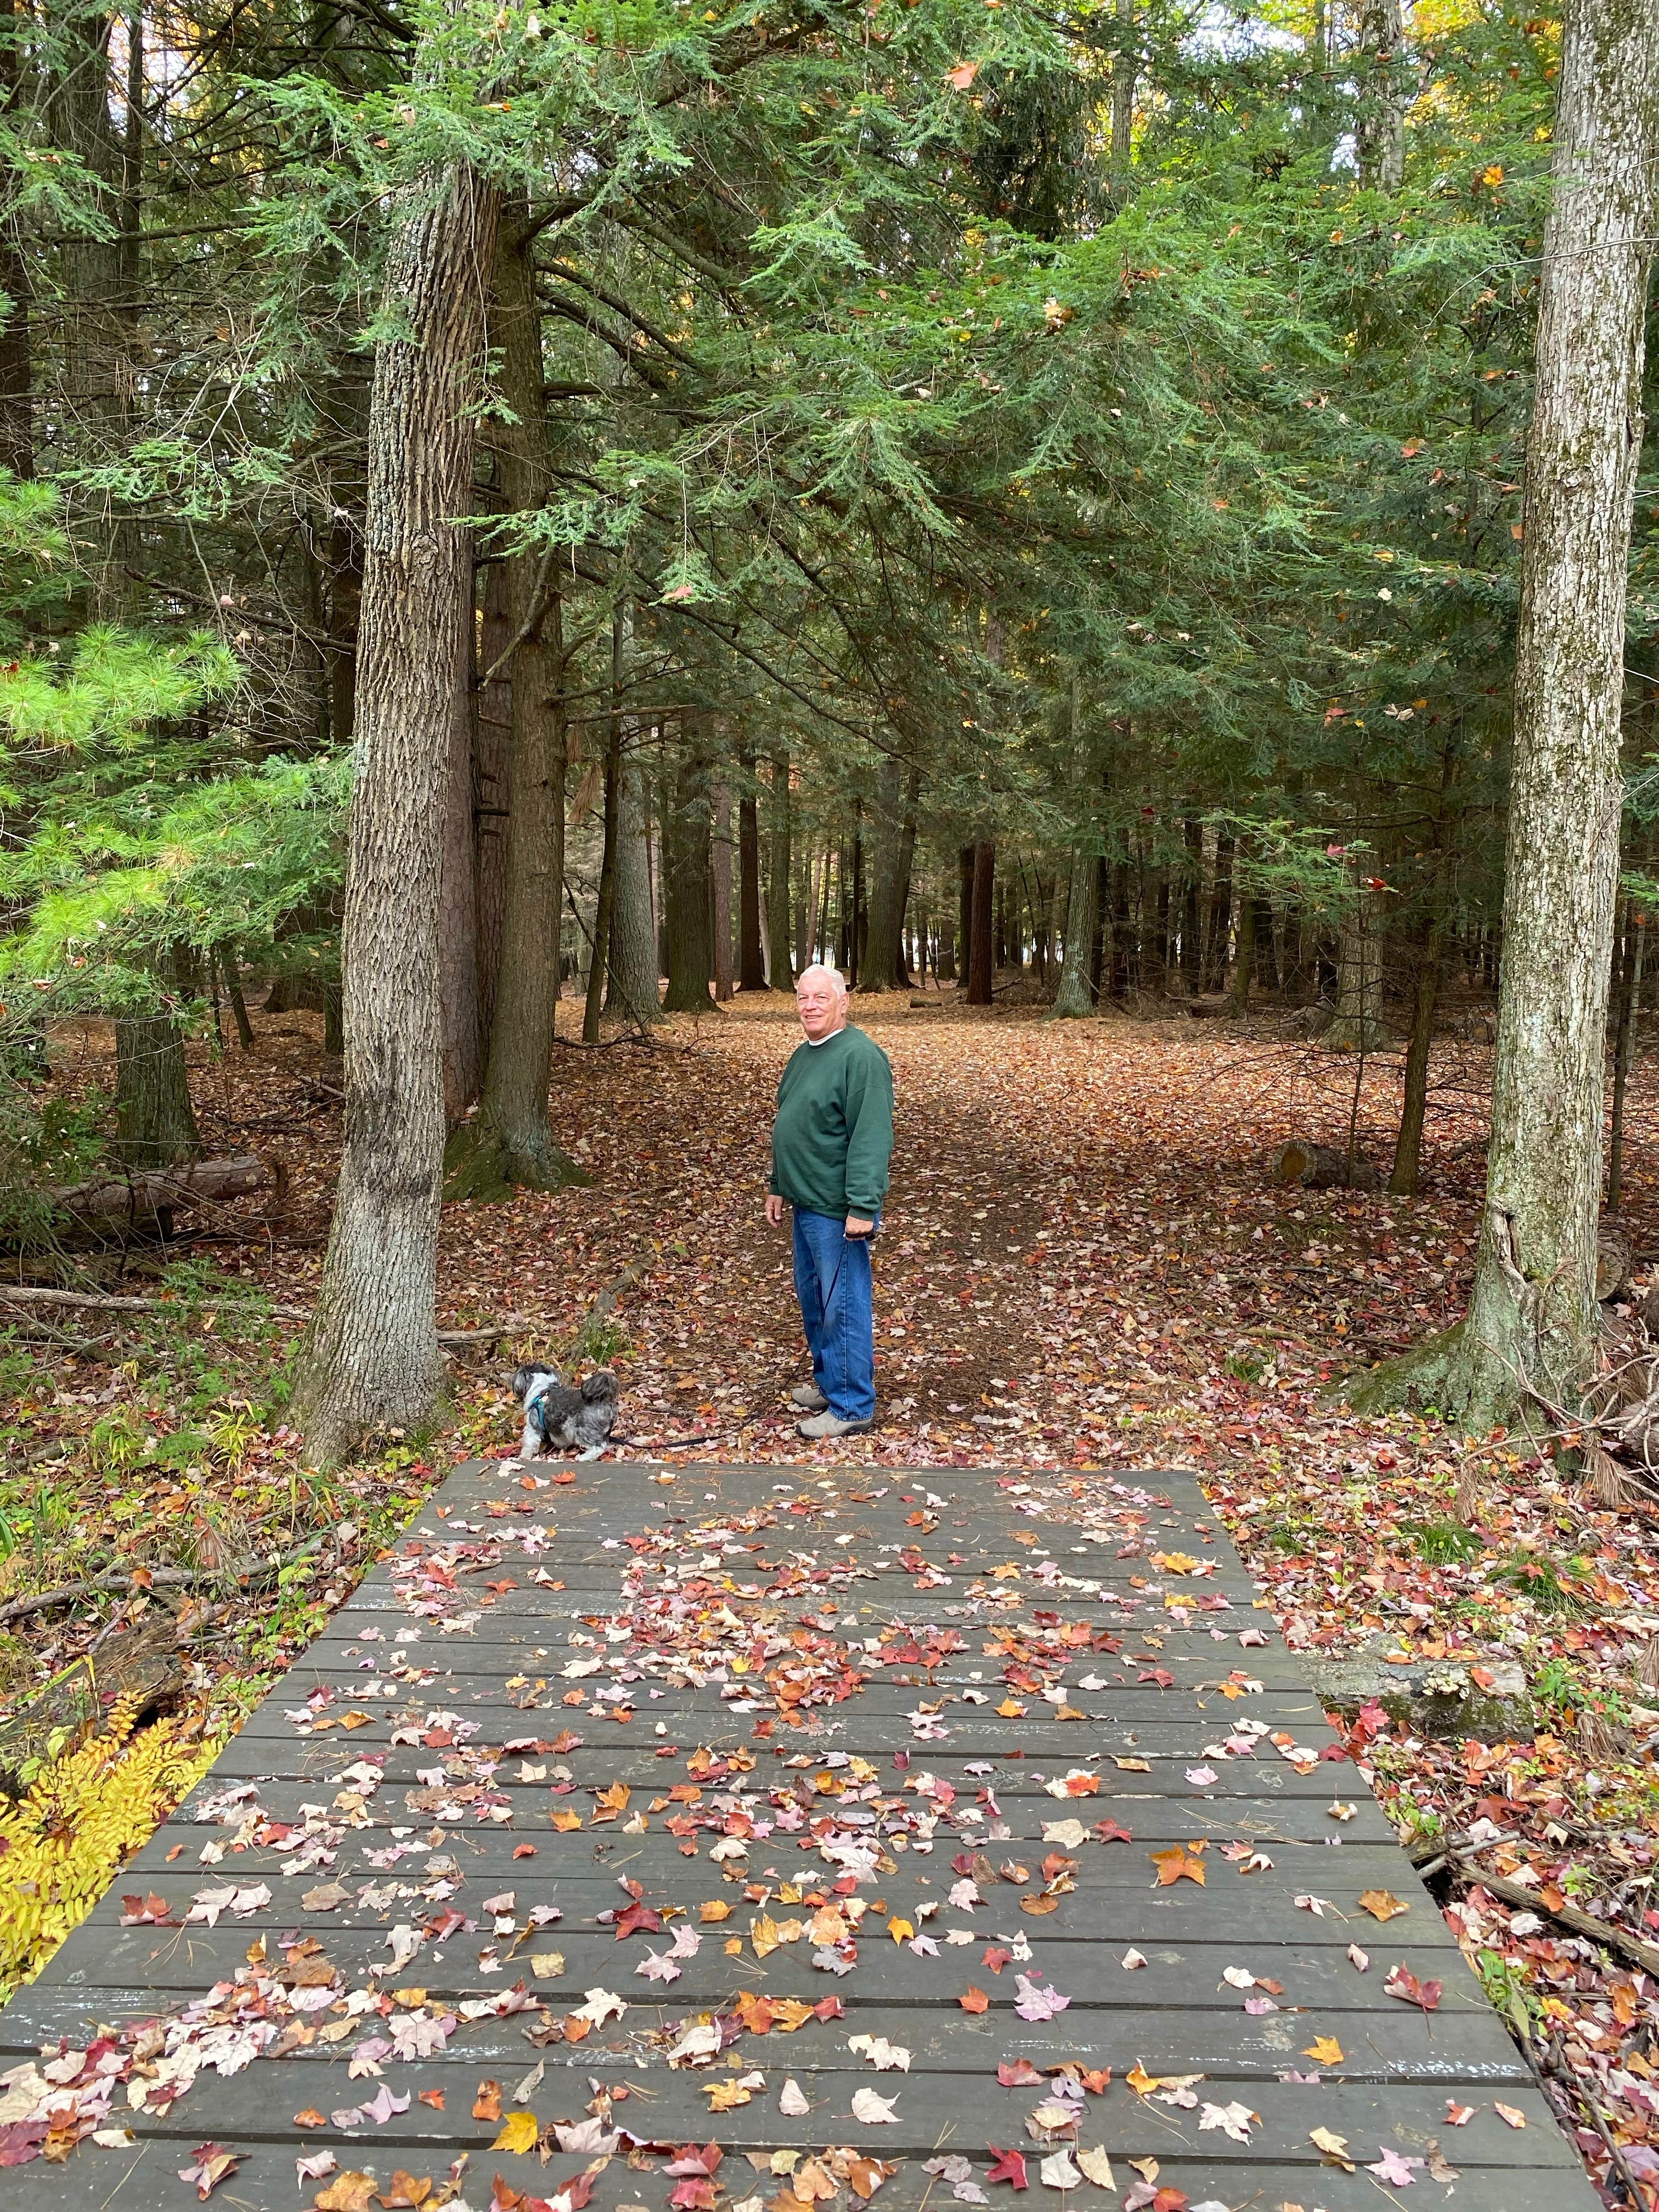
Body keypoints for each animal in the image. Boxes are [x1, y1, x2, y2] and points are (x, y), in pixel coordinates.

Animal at [513, 1353, 624, 1460]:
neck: (541, 1389)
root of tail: (604, 1399)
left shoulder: (533, 1426)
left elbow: (529, 1443)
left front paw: (523, 1456)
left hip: (585, 1430)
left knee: (598, 1448)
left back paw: (583, 1458)